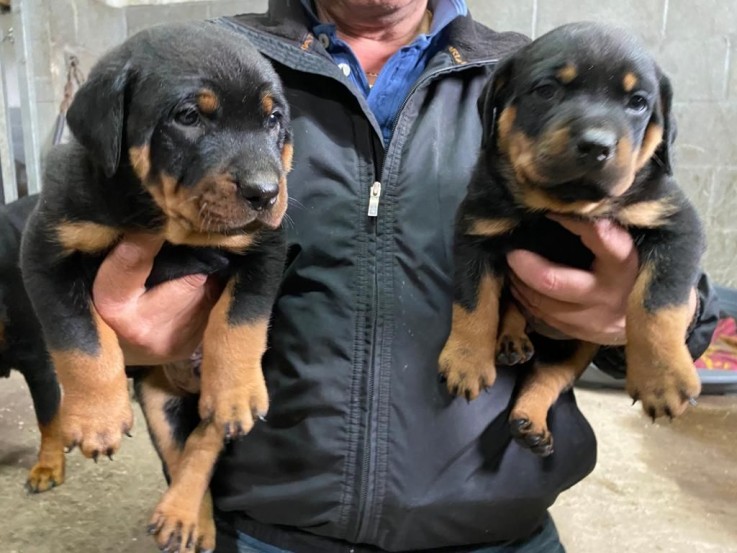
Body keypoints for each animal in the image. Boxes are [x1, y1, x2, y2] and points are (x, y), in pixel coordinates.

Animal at [20, 21, 290, 552]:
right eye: (188, 116)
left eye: (274, 119)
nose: (266, 192)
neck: (157, 220)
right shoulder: (45, 249)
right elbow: (78, 337)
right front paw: (97, 417)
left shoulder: (268, 245)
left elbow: (241, 319)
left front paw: (237, 390)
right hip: (158, 399)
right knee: (180, 452)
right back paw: (188, 519)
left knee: (205, 441)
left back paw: (187, 504)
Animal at [440, 21, 704, 454]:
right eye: (547, 90)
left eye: (638, 102)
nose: (597, 145)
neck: (563, 208)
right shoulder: (476, 233)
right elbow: (473, 303)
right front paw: (465, 360)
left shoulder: (676, 225)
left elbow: (657, 301)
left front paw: (662, 377)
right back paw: (512, 342)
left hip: (578, 345)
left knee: (549, 375)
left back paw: (530, 419)